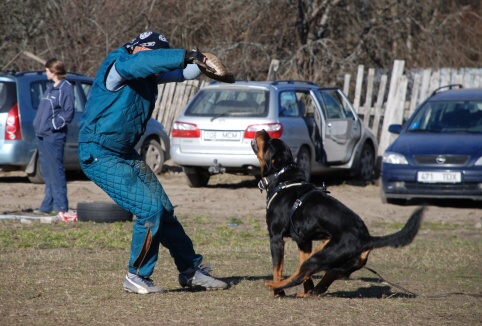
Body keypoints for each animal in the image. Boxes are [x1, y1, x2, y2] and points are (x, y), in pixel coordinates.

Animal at [250, 131, 424, 298]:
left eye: (269, 142)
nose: (262, 130)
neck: (282, 179)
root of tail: (366, 238)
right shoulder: (304, 242)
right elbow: (304, 270)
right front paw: (306, 289)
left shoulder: (276, 237)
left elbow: (277, 268)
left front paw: (278, 293)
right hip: (332, 261)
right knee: (318, 283)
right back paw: (308, 292)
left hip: (322, 255)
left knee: (299, 276)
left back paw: (273, 285)